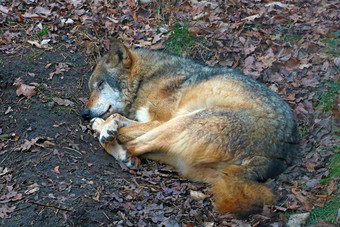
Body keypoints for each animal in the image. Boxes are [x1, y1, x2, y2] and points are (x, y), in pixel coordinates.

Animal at [81, 39, 298, 215]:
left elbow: (117, 118)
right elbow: (121, 119)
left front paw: (106, 127)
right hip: (183, 158)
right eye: (91, 88)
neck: (145, 79)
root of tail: (278, 153)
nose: (84, 113)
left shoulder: (159, 120)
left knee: (132, 145)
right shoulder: (148, 120)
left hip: (181, 122)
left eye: (100, 84)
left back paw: (115, 143)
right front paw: (102, 124)